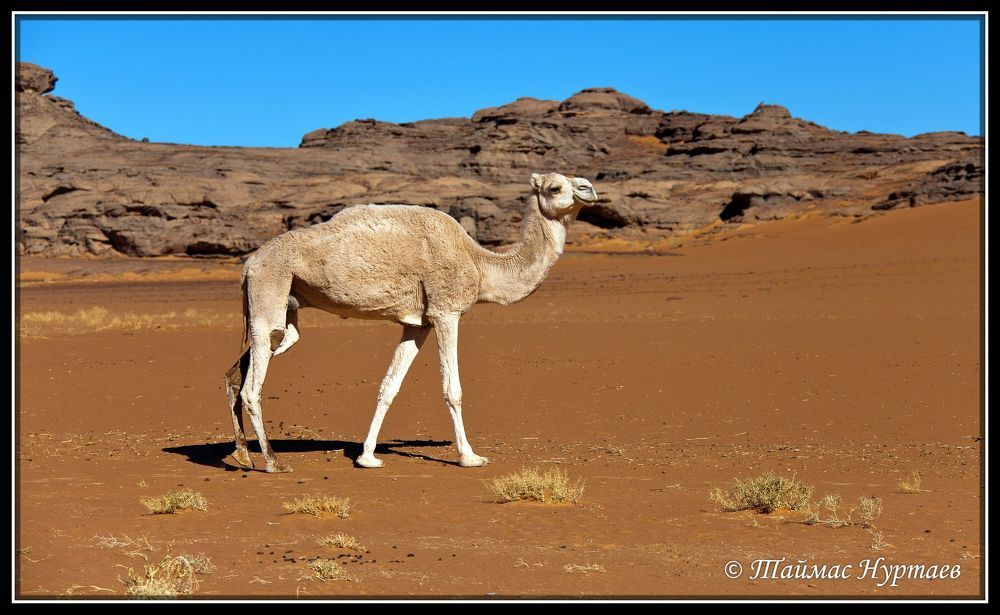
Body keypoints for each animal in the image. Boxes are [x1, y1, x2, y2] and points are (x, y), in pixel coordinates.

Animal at [224, 172, 598, 472]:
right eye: (554, 187)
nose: (590, 189)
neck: (479, 264)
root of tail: (249, 264)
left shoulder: (418, 323)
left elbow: (388, 387)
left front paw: (367, 457)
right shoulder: (446, 312)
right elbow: (453, 389)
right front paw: (470, 457)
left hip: (282, 310)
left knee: (241, 371)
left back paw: (243, 455)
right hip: (270, 289)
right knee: (252, 387)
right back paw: (273, 462)